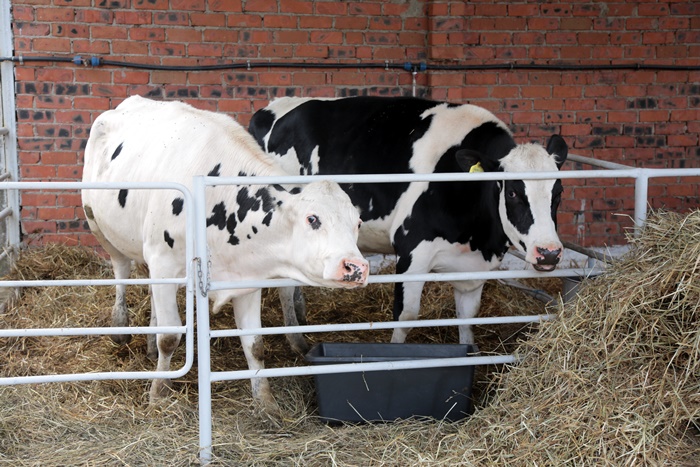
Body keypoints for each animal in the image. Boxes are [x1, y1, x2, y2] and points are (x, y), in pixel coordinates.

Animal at [81, 95, 369, 411]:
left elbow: (255, 344)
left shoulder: (248, 277)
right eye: (312, 218)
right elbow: (169, 338)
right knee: (121, 269)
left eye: (358, 223)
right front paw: (158, 393)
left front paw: (265, 402)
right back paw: (121, 326)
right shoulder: (163, 260)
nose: (356, 267)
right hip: (97, 222)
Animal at [249, 96, 568, 351]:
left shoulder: (474, 265)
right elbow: (406, 316)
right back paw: (297, 341)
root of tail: (273, 107)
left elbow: (468, 315)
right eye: (512, 192)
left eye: (559, 191)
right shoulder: (413, 250)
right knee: (284, 285)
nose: (549, 253)